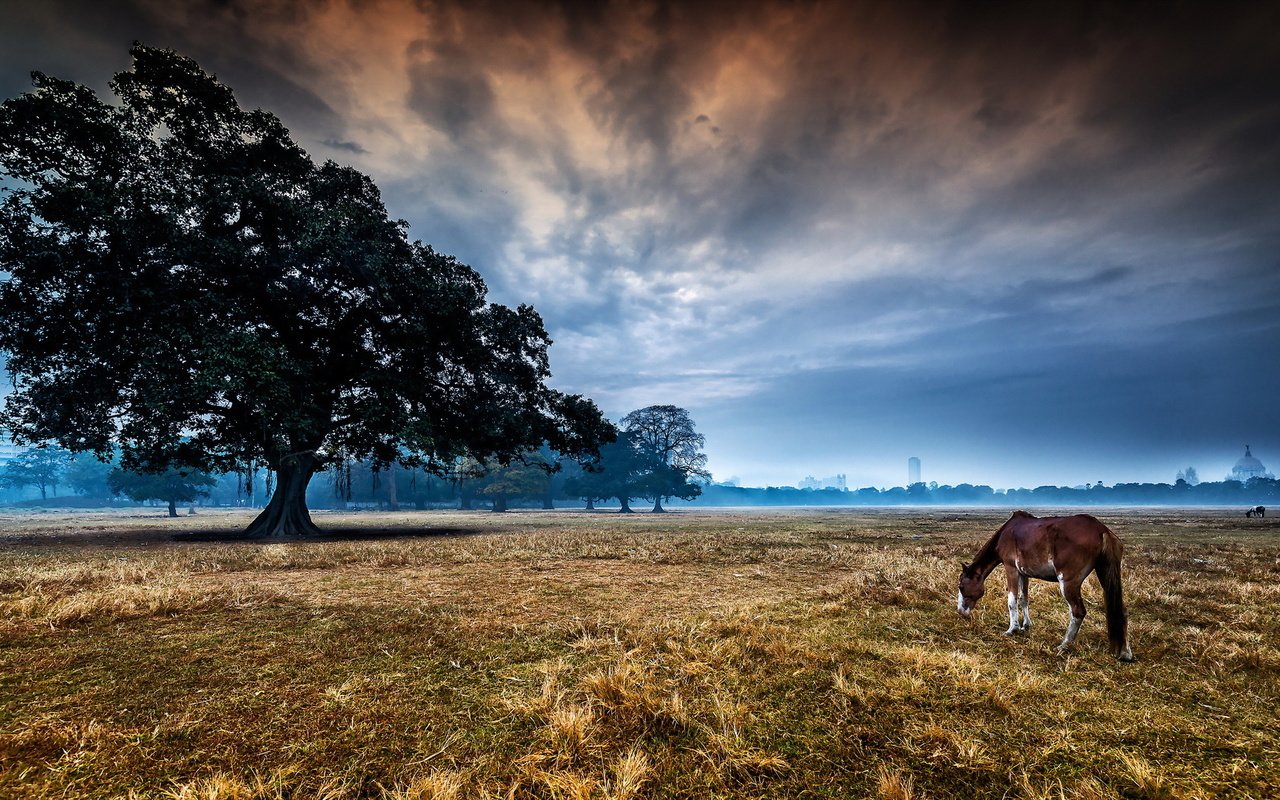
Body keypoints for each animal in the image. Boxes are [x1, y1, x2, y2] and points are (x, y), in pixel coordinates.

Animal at [957, 512, 1136, 660]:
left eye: (961, 587)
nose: (960, 611)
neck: (1006, 533)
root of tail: (1102, 529)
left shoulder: (1011, 568)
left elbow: (1012, 601)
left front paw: (1012, 629)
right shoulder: (1024, 573)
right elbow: (1024, 599)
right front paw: (1025, 625)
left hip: (1068, 583)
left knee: (1078, 612)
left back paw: (1064, 645)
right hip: (1106, 574)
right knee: (1122, 611)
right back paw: (1125, 653)